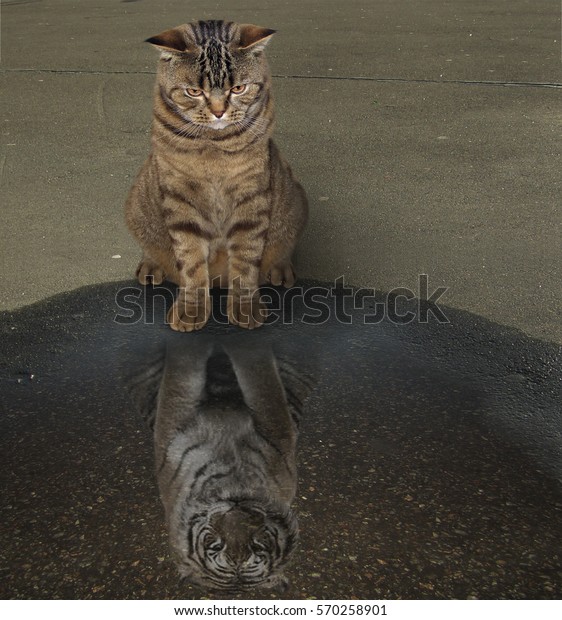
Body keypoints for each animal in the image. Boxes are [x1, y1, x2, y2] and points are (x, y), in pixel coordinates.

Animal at [125, 19, 308, 332]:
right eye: (194, 92)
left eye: (238, 88)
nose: (219, 111)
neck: (214, 148)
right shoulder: (180, 199)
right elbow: (191, 262)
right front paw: (192, 310)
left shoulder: (251, 196)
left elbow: (245, 262)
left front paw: (245, 309)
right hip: (136, 205)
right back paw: (151, 265)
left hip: (295, 202)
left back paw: (281, 268)